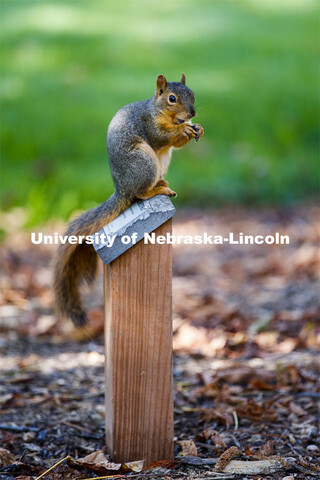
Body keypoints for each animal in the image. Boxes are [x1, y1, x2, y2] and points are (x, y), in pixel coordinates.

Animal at [52, 73, 202, 328]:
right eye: (172, 98)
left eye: (192, 94)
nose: (191, 114)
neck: (162, 112)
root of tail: (121, 189)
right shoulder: (149, 124)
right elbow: (161, 136)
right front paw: (183, 128)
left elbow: (176, 142)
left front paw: (197, 128)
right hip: (143, 162)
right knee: (138, 194)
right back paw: (156, 191)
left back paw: (162, 184)